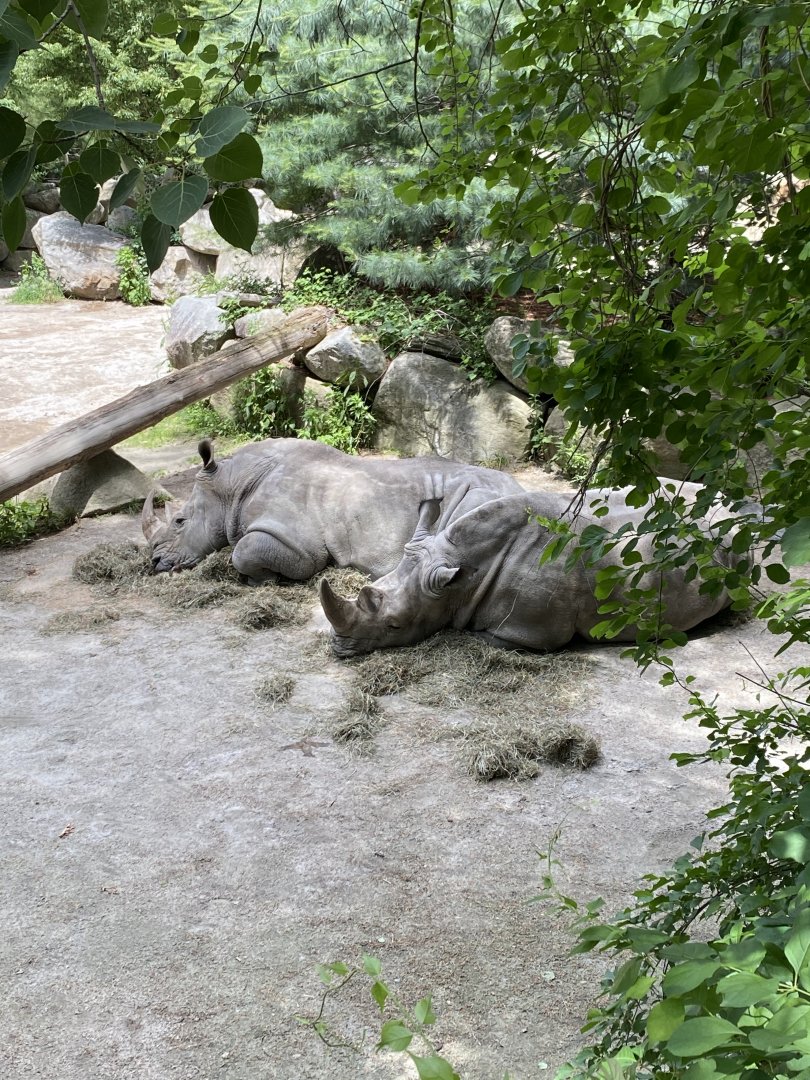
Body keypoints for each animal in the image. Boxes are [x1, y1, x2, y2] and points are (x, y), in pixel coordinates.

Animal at [142, 437, 524, 583]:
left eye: (180, 521)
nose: (155, 563)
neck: (229, 484)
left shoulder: (299, 545)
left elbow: (242, 551)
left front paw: (262, 579)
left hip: (481, 496)